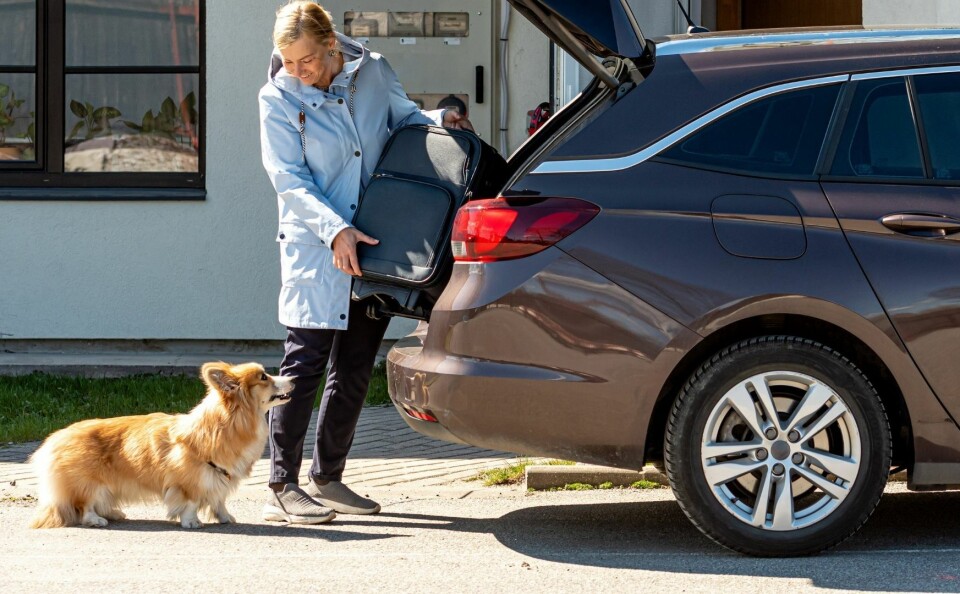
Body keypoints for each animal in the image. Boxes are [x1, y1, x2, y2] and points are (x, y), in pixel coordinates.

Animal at [30, 360, 292, 528]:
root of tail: (54, 440)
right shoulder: (190, 480)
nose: (293, 378)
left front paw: (225, 517)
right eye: (263, 377)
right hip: (91, 484)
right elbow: (191, 502)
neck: (226, 424)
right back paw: (97, 520)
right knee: (84, 507)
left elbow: (219, 499)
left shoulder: (219, 476)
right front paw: (192, 522)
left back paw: (113, 512)